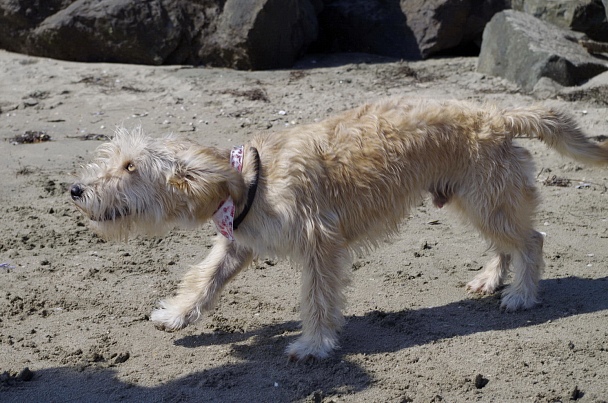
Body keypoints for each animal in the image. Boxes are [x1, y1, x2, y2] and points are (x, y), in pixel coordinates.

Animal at [70, 98, 608, 362]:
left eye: (130, 166)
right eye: (115, 160)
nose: (75, 189)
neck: (250, 182)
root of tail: (498, 113)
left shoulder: (319, 246)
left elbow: (317, 298)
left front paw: (313, 345)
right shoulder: (237, 245)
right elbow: (204, 281)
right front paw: (177, 315)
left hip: (487, 200)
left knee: (531, 239)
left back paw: (521, 294)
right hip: (473, 200)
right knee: (505, 244)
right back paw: (491, 280)